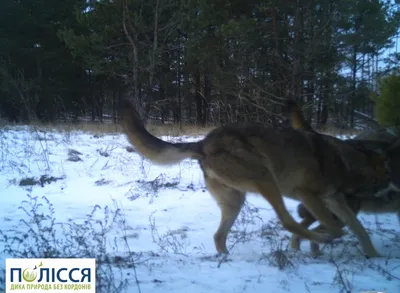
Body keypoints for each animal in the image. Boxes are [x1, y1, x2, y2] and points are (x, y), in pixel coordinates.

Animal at [120, 98, 392, 256]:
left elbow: (358, 229)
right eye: (389, 176)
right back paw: (321, 238)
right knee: (287, 221)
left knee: (219, 236)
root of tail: (203, 143)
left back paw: (226, 261)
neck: (347, 163)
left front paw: (374, 257)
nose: (391, 188)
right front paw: (325, 238)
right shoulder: (308, 194)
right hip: (266, 181)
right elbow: (334, 225)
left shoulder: (335, 199)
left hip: (235, 202)